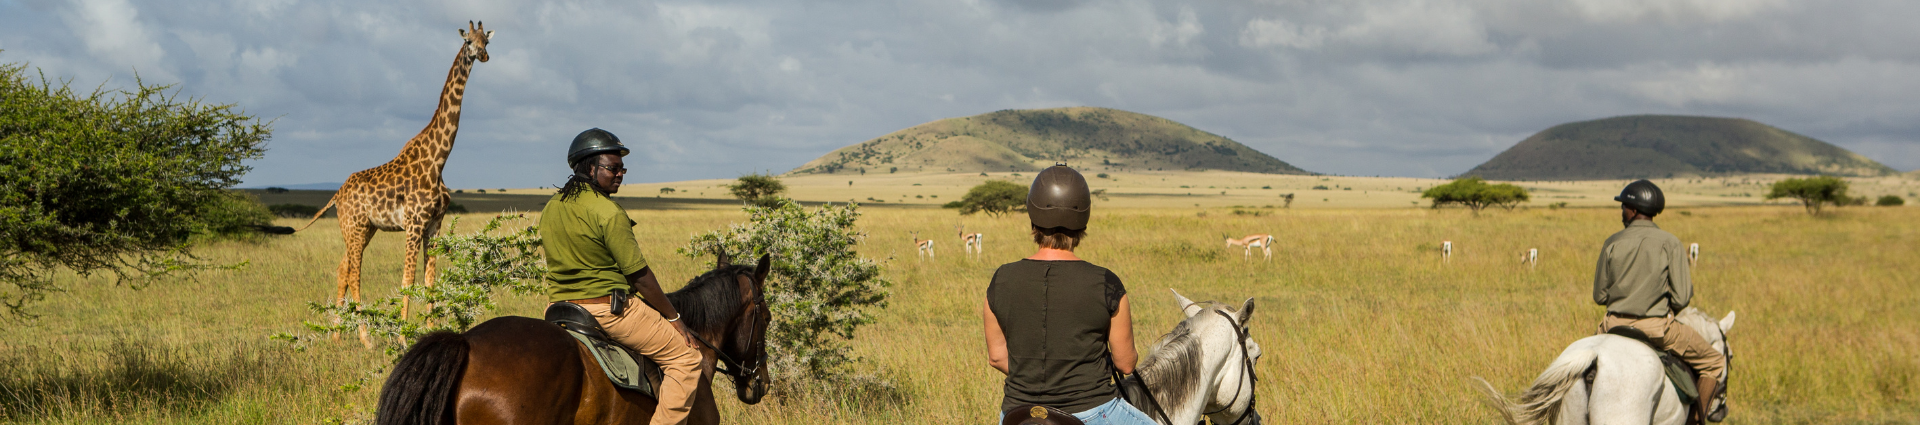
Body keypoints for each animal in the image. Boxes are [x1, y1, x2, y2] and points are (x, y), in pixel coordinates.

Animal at [291, 20, 491, 346]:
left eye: (486, 40)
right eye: (468, 41)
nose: (483, 56)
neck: (438, 160)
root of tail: (336, 195)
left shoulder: (435, 224)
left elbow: (430, 279)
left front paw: (431, 330)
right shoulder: (413, 223)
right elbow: (408, 279)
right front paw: (402, 338)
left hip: (363, 229)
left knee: (342, 268)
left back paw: (336, 336)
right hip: (355, 227)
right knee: (354, 273)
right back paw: (365, 339)